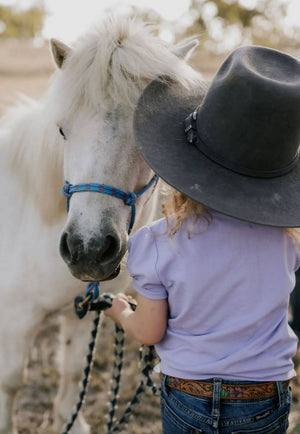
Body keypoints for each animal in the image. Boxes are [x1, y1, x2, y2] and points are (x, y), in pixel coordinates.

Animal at [0, 15, 204, 432]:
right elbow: (11, 382)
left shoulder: (81, 311)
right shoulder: (14, 318)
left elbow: (73, 377)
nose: (88, 249)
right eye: (62, 130)